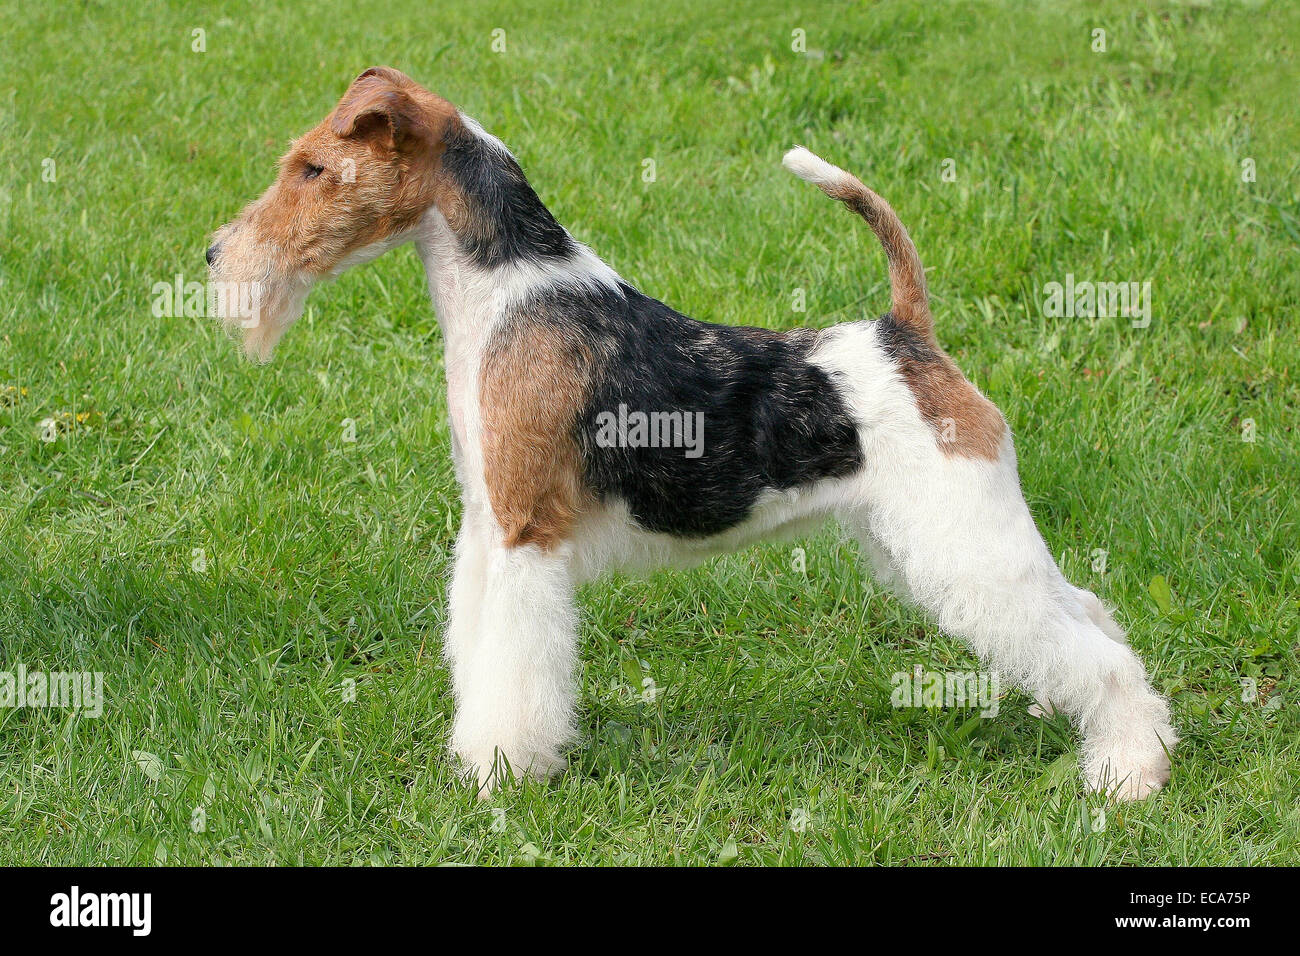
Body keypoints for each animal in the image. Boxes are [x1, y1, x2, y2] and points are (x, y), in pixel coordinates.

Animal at [208, 67, 1175, 801]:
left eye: (313, 169)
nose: (216, 256)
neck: (508, 292)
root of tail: (908, 334)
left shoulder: (525, 534)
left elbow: (514, 671)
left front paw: (500, 776)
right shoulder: (488, 528)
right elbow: (477, 649)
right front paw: (478, 759)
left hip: (961, 531)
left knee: (1094, 648)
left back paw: (1127, 772)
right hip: (937, 535)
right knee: (1085, 612)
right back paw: (1073, 722)